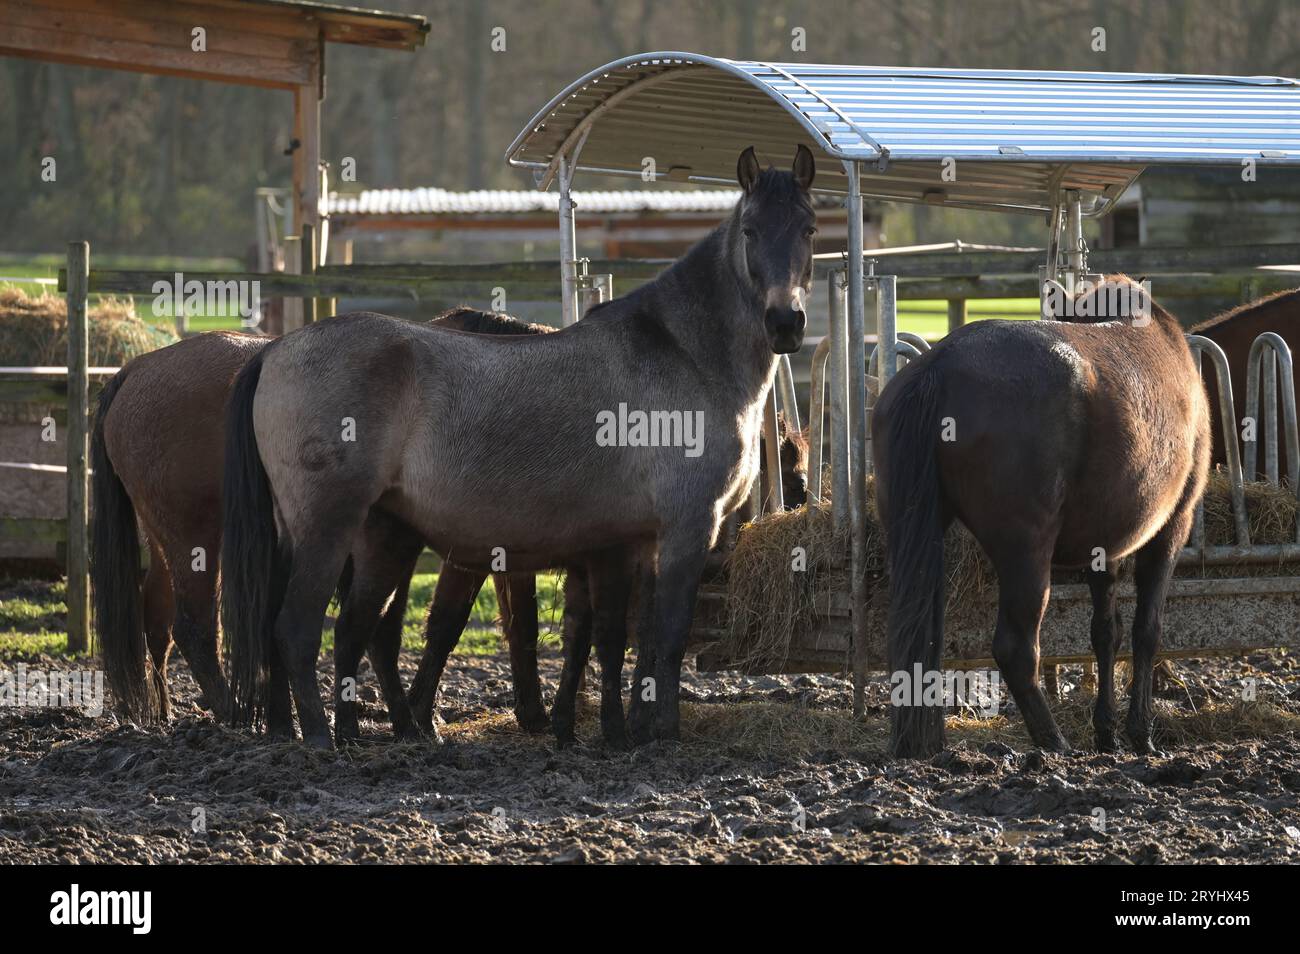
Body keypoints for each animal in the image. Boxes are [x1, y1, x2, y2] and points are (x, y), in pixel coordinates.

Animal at [220, 145, 811, 748]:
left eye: (808, 227)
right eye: (749, 229)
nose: (786, 323)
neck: (683, 352)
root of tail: (275, 351)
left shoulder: (635, 542)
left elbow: (634, 640)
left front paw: (629, 727)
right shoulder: (687, 527)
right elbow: (666, 636)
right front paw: (659, 732)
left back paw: (301, 728)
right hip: (328, 527)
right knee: (296, 629)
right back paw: (321, 735)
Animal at [868, 276, 1211, 764]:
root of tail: (940, 366)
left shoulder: (1104, 546)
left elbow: (1106, 632)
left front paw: (1107, 732)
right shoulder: (1170, 530)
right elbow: (1147, 631)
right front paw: (1139, 733)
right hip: (1026, 553)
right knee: (1015, 648)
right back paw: (1053, 741)